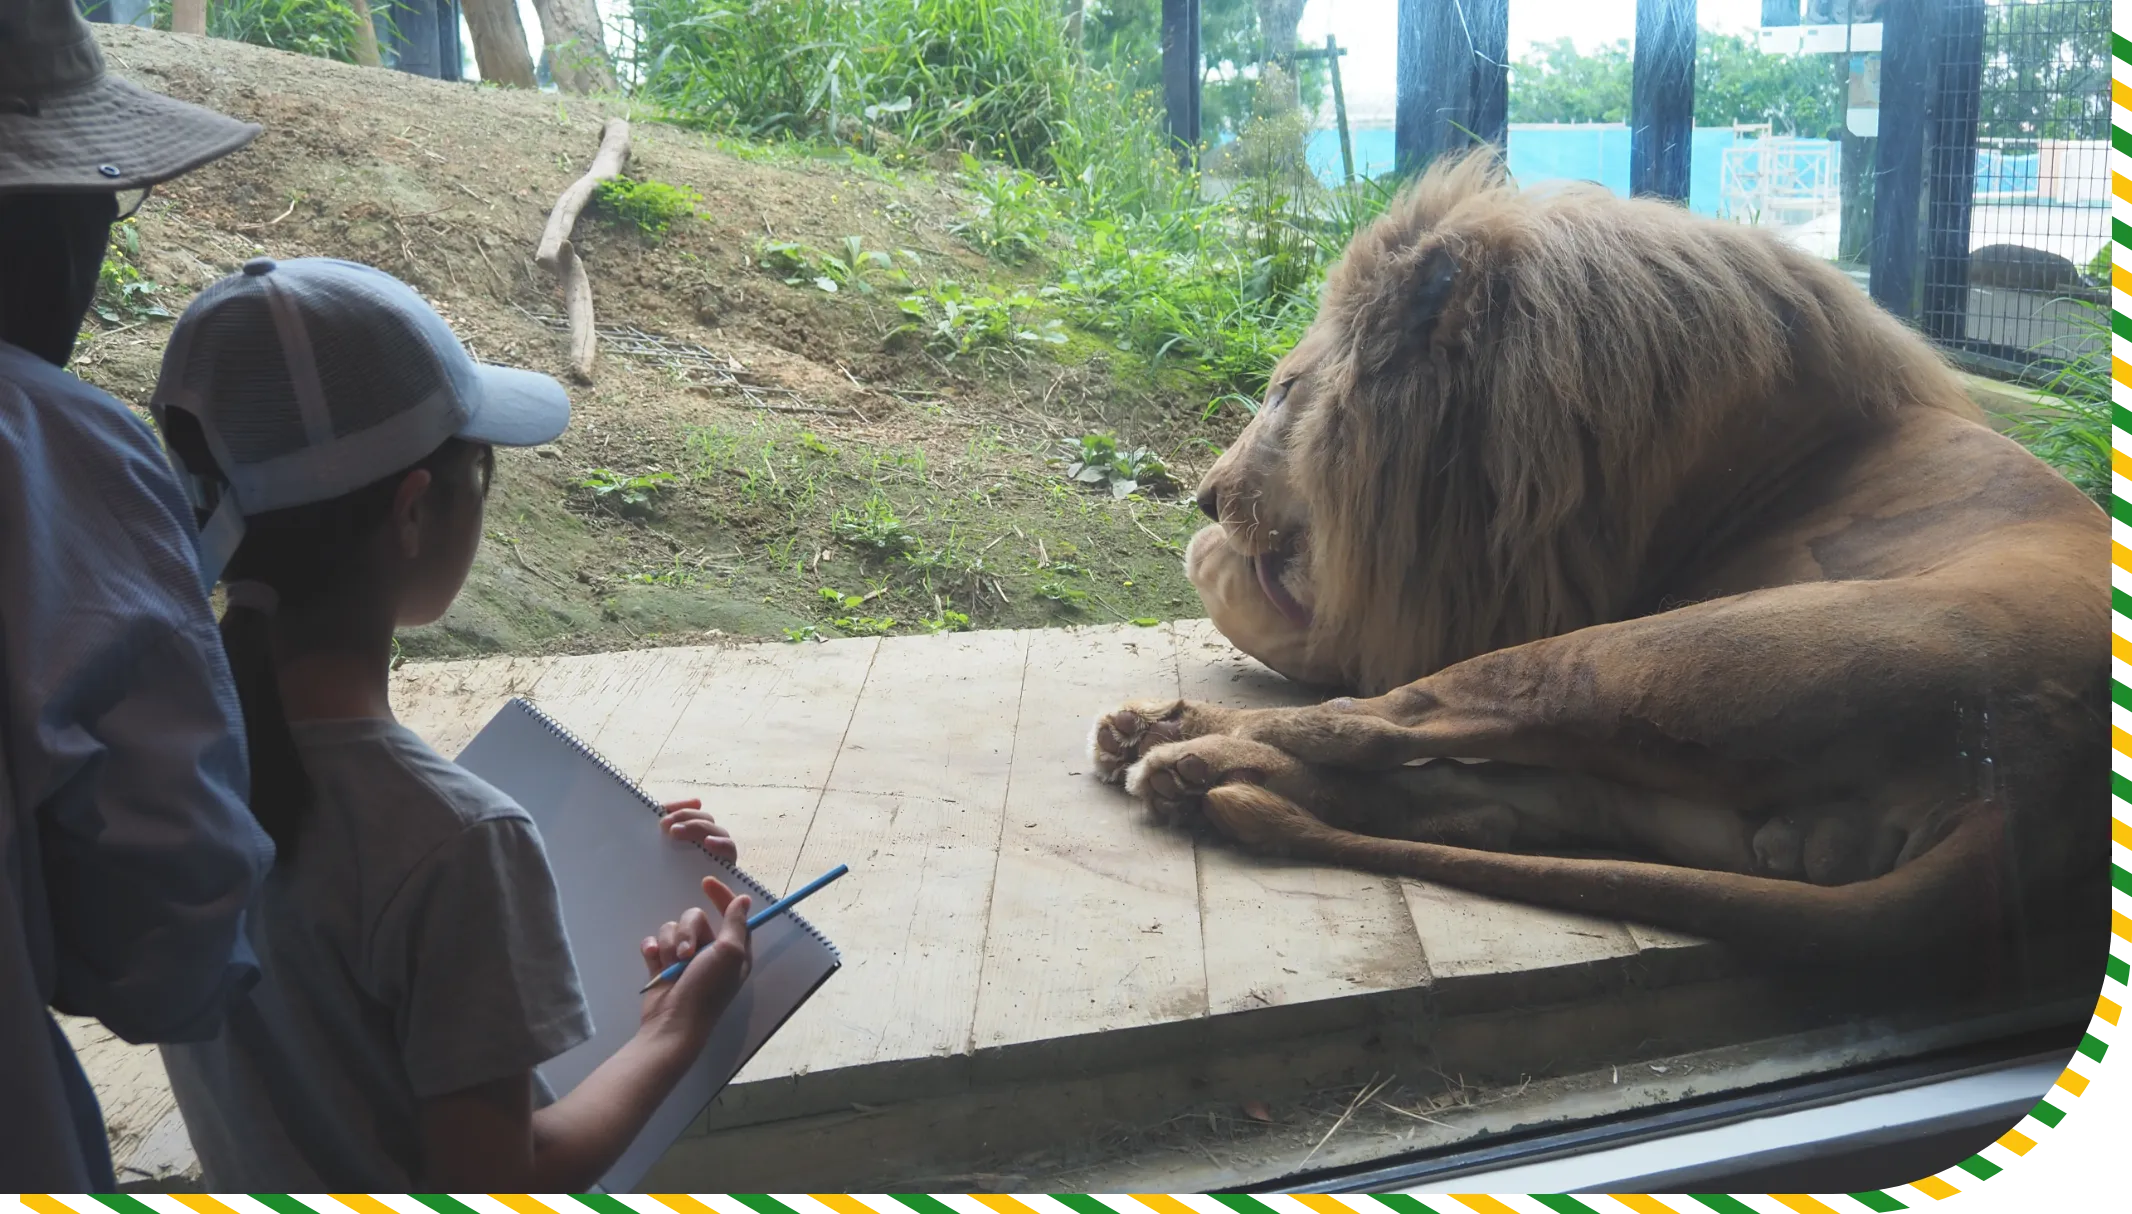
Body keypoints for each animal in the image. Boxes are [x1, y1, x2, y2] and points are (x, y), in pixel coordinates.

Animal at [1091, 149, 2106, 977]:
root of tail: (2039, 786)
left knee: (1378, 723)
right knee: (1475, 803)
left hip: (1632, 657)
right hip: (1681, 788)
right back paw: (1200, 779)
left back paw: (1172, 746)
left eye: (1283, 393)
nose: (1205, 499)